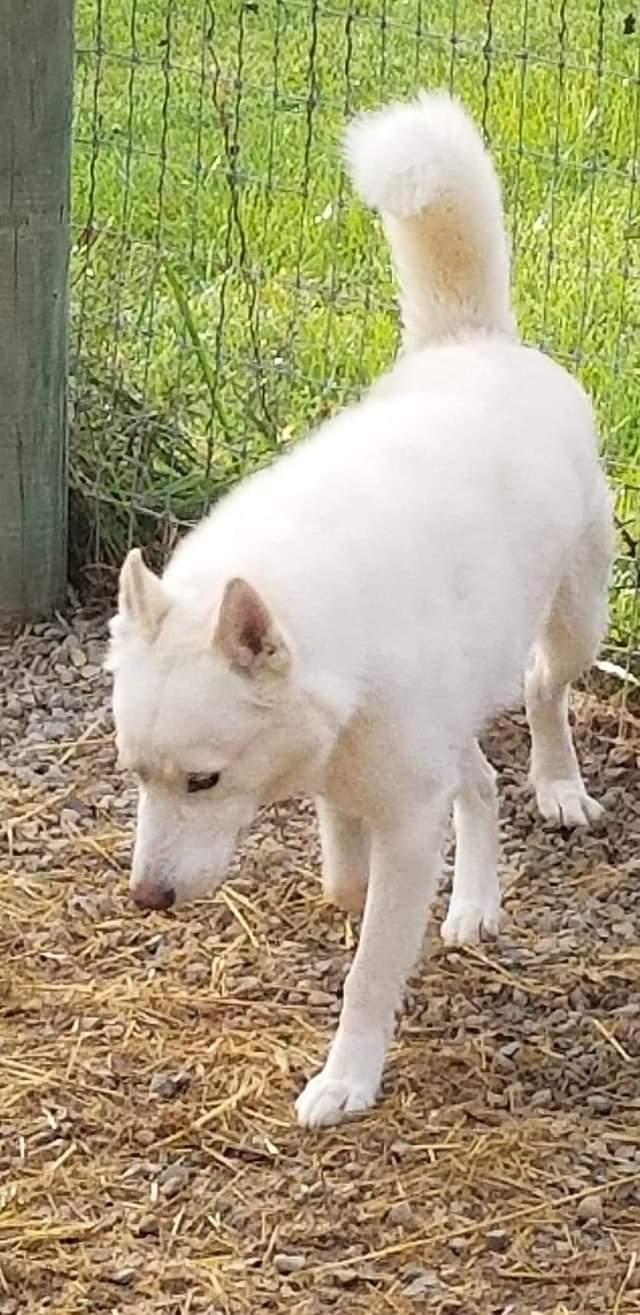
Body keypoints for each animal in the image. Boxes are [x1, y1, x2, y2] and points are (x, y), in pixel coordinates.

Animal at [107, 92, 615, 1130]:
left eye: (204, 782)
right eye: (135, 775)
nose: (149, 899)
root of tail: (474, 344)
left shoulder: (405, 823)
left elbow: (371, 971)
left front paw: (347, 1078)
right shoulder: (355, 783)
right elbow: (346, 870)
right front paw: (365, 891)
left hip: (577, 624)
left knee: (543, 694)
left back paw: (555, 784)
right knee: (479, 779)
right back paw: (475, 902)